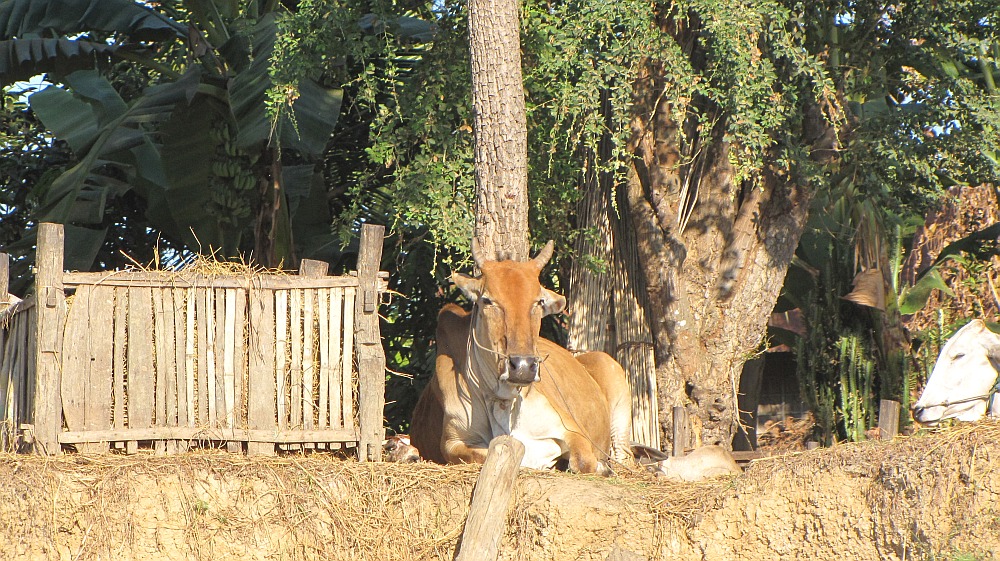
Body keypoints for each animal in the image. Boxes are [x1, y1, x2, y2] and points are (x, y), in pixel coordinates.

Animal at [408, 241, 628, 472]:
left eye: (539, 301)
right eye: (487, 300)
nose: (522, 366)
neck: (502, 399)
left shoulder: (572, 429)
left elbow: (584, 461)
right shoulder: (453, 442)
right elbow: (483, 454)